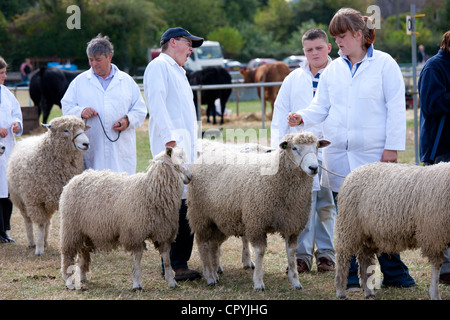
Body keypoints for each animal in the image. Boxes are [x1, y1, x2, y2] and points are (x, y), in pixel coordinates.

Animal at [6, 116, 89, 256]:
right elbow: (39, 224)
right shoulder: (35, 201)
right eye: (65, 130)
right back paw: (32, 242)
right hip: (20, 199)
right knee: (28, 220)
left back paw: (45, 241)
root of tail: (28, 138)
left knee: (47, 221)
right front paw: (39, 250)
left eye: (83, 128)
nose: (86, 144)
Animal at [58, 146, 192, 292]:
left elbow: (167, 259)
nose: (190, 177)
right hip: (71, 228)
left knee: (83, 253)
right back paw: (69, 281)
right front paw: (137, 284)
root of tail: (77, 177)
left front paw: (171, 281)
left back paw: (82, 277)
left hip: (86, 231)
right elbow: (137, 260)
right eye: (176, 165)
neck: (150, 191)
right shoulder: (135, 232)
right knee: (67, 255)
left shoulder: (163, 233)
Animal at [186, 131, 330, 292]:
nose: (314, 168)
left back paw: (215, 272)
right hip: (200, 215)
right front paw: (258, 282)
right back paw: (209, 276)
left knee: (213, 244)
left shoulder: (291, 224)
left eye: (317, 146)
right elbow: (260, 252)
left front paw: (295, 281)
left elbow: (291, 253)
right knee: (202, 244)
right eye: (294, 148)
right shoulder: (256, 222)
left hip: (220, 219)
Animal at [334, 162, 450, 300]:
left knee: (364, 260)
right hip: (349, 227)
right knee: (342, 258)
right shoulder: (433, 234)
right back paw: (340, 290)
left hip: (368, 234)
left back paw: (368, 291)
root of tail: (354, 171)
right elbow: (436, 266)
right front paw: (435, 294)